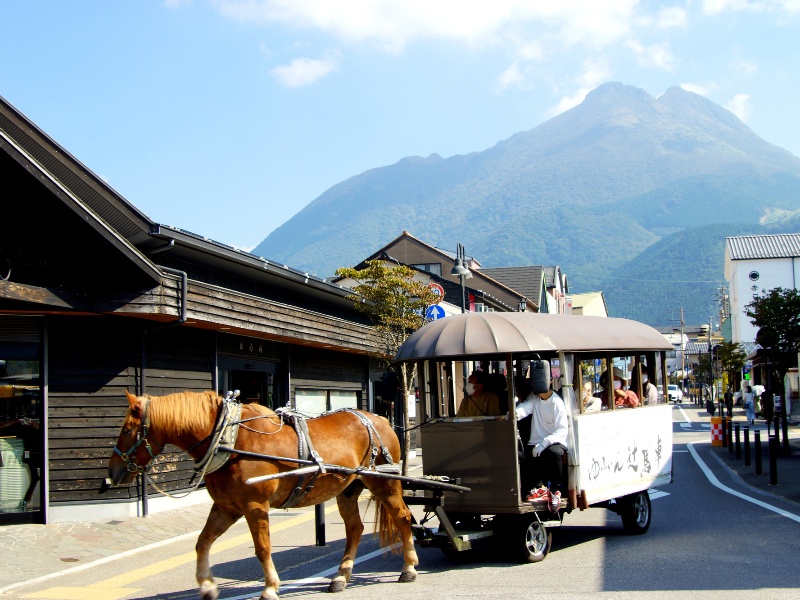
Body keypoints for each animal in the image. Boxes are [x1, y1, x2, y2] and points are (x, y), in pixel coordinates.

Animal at [104, 390, 418, 600]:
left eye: (127, 429)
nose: (113, 473)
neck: (229, 441)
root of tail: (380, 419)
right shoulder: (226, 507)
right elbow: (202, 543)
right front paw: (206, 585)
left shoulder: (255, 505)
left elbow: (263, 548)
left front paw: (270, 587)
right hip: (349, 489)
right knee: (354, 529)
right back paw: (341, 576)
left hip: (384, 483)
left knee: (403, 518)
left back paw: (409, 568)